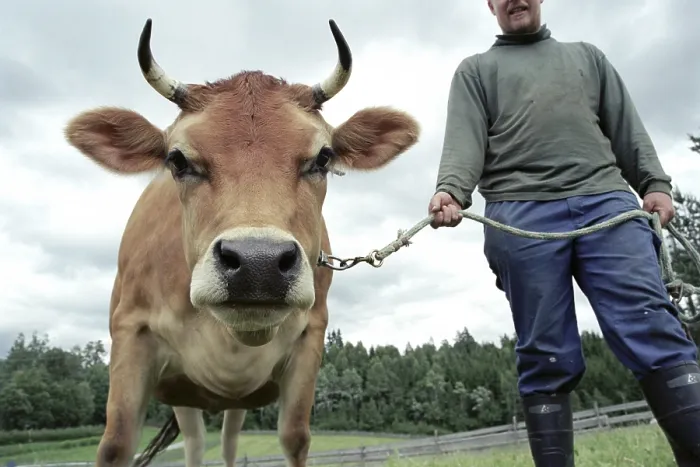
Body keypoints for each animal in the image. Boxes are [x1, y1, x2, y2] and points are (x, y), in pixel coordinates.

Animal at [63, 18, 420, 467]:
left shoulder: (311, 337)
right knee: (196, 443)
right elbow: (116, 444)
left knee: (230, 441)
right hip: (184, 396)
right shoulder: (131, 332)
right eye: (177, 160)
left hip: (236, 402)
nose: (258, 263)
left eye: (323, 157)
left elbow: (295, 437)